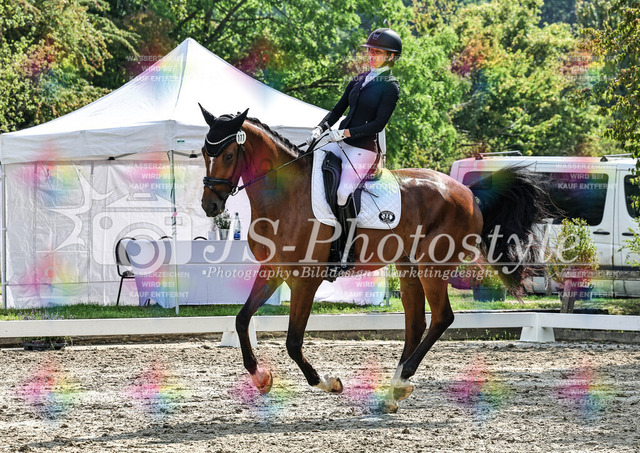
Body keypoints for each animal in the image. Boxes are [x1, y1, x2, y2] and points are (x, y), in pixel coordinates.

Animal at [198, 106, 547, 412]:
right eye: (203, 152)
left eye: (228, 155)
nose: (210, 206)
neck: (285, 195)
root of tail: (469, 193)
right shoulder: (273, 270)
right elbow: (241, 320)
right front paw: (261, 378)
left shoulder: (305, 280)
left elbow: (293, 342)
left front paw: (329, 383)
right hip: (408, 266)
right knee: (416, 323)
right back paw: (393, 392)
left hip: (432, 267)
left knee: (441, 318)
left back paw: (402, 382)